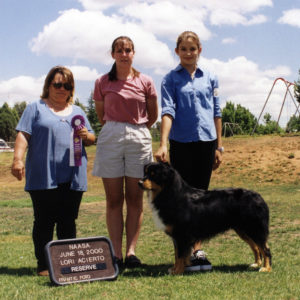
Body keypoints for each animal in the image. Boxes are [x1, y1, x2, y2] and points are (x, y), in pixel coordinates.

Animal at [138, 162, 272, 274]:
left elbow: (180, 256)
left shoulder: (182, 235)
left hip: (254, 228)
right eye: (145, 173)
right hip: (243, 230)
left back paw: (266, 268)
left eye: (154, 175)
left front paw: (178, 271)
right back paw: (256, 264)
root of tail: (259, 197)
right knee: (256, 247)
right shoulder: (177, 236)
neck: (171, 194)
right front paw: (175, 269)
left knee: (265, 248)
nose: (139, 182)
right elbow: (177, 255)